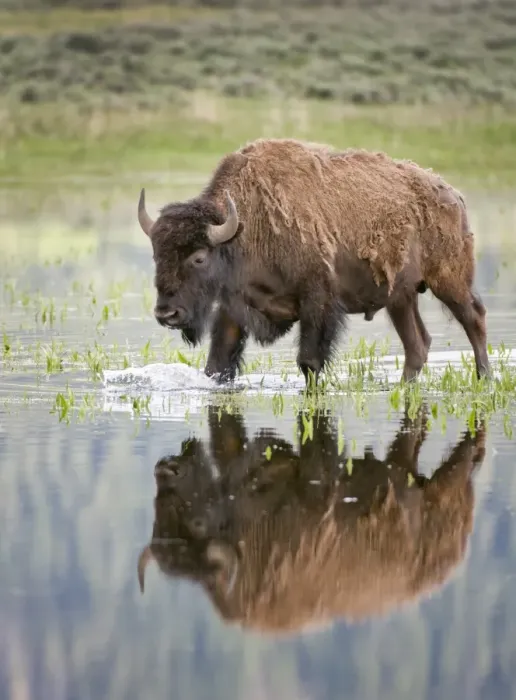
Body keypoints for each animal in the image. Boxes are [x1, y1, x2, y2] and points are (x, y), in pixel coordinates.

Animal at [138, 138, 490, 385]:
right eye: (157, 254)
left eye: (199, 257)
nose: (166, 313)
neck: (246, 227)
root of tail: (454, 196)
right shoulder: (233, 307)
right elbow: (218, 363)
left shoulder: (317, 302)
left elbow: (309, 361)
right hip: (400, 297)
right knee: (417, 344)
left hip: (449, 281)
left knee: (473, 318)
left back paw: (483, 377)